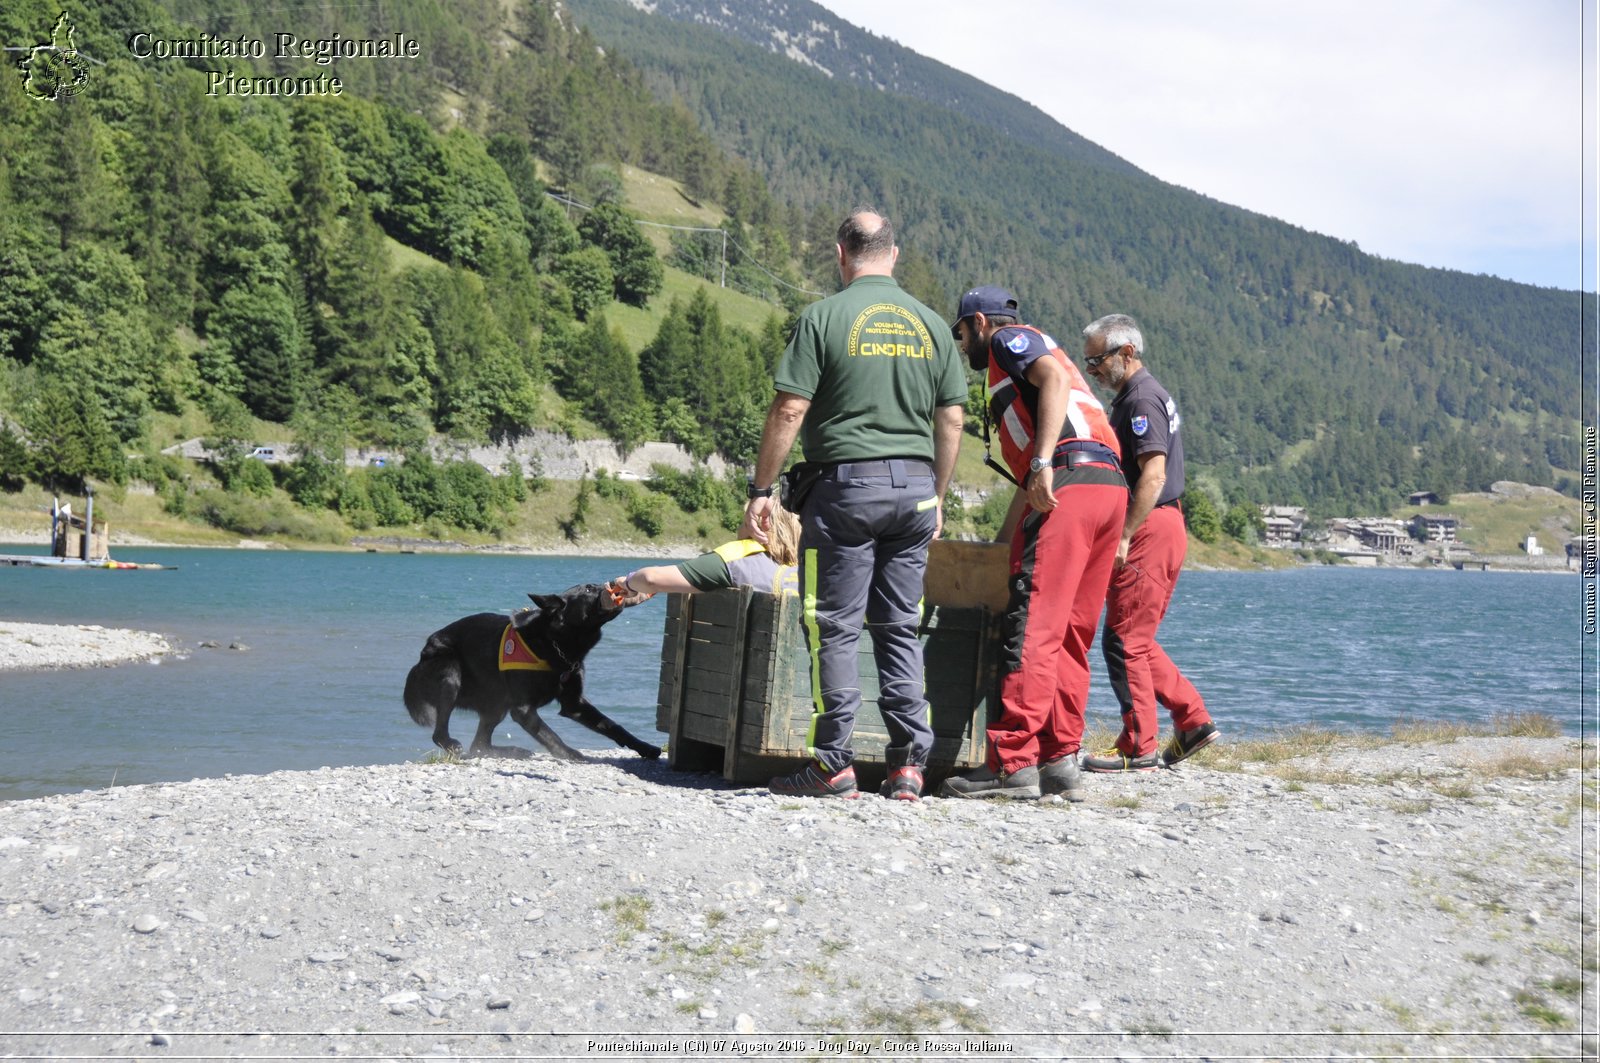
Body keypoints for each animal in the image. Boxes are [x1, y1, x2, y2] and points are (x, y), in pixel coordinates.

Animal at [409, 582, 665, 765]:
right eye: (589, 589)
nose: (615, 585)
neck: (555, 643)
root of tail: (420, 656)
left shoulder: (575, 704)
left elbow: (613, 726)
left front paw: (644, 747)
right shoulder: (523, 709)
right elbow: (550, 735)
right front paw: (571, 754)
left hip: (496, 705)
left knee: (479, 744)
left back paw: (515, 751)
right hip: (451, 673)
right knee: (442, 733)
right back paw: (454, 744)